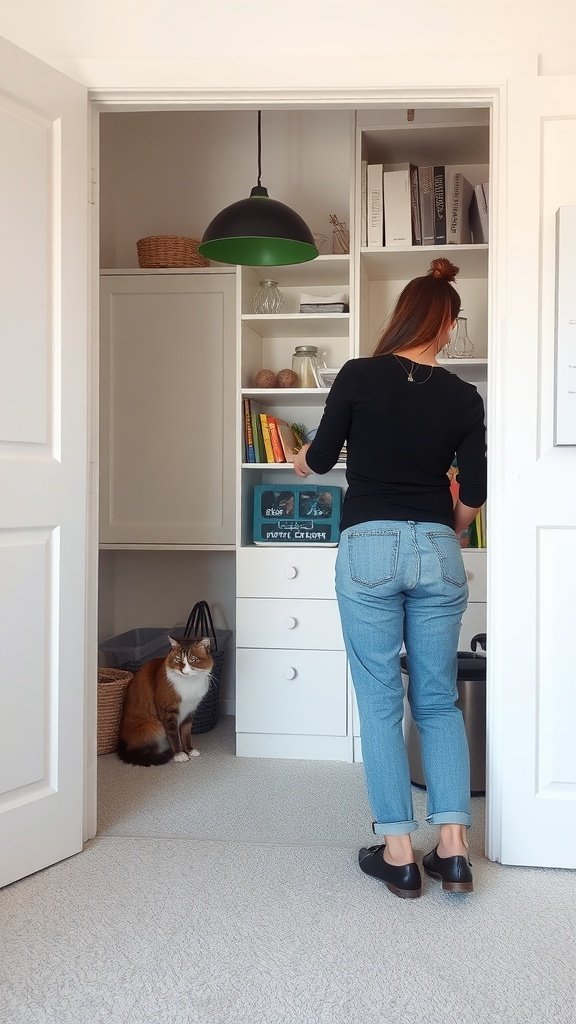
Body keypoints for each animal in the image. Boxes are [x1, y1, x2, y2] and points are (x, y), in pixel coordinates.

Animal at [116, 634, 213, 765]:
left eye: (193, 660)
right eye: (177, 659)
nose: (183, 671)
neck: (189, 683)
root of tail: (122, 743)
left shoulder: (189, 712)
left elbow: (186, 734)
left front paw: (190, 750)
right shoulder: (169, 713)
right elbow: (174, 736)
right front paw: (179, 754)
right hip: (153, 727)